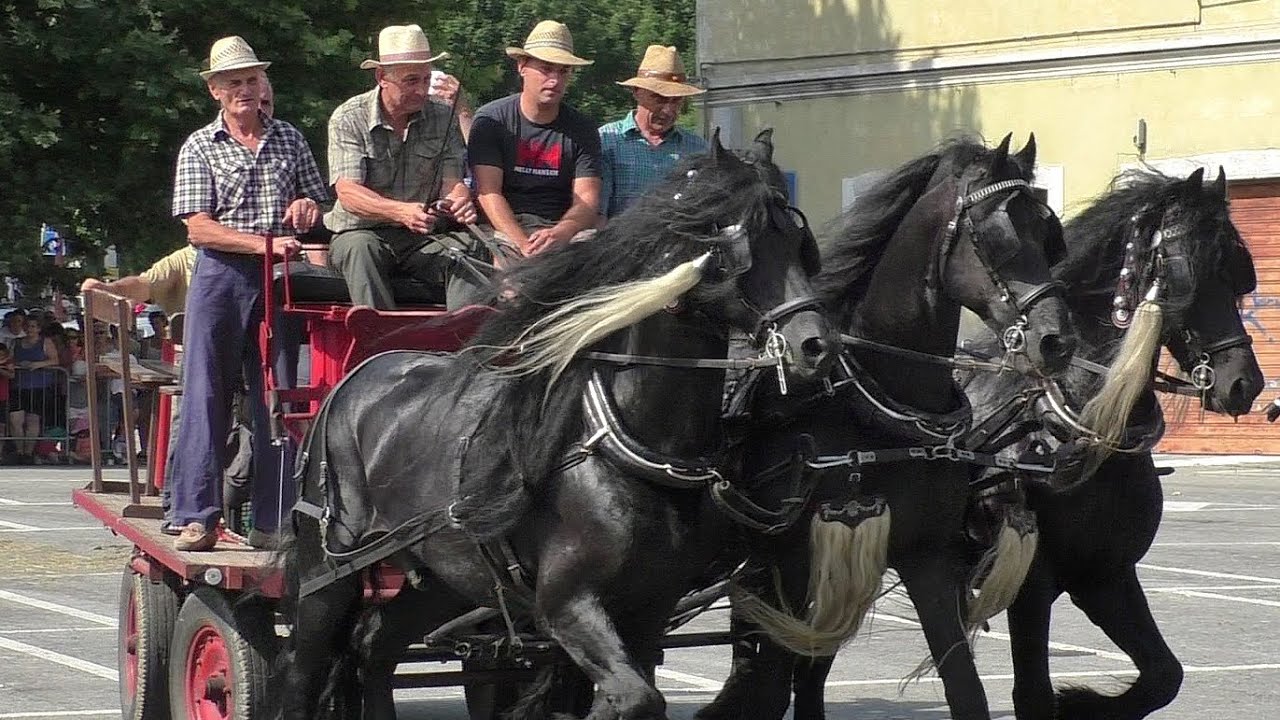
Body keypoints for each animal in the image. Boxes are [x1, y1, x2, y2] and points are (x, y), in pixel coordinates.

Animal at [273, 131, 839, 720]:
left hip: (445, 577)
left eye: (799, 242)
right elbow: (635, 697)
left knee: (374, 647)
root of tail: (354, 380)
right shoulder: (567, 604)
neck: (636, 444)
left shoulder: (649, 608)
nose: (815, 345)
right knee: (301, 667)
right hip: (328, 570)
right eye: (742, 246)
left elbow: (631, 694)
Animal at [697, 133, 1077, 720]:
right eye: (999, 237)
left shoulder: (926, 559)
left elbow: (963, 687)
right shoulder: (792, 561)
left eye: (1048, 230)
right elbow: (776, 679)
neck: (878, 405)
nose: (1056, 341)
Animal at [956, 166, 1264, 720]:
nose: (1243, 383)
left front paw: (1083, 702)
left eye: (1237, 276)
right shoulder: (1029, 584)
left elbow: (1165, 676)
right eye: (1190, 274)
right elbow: (1032, 696)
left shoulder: (1107, 576)